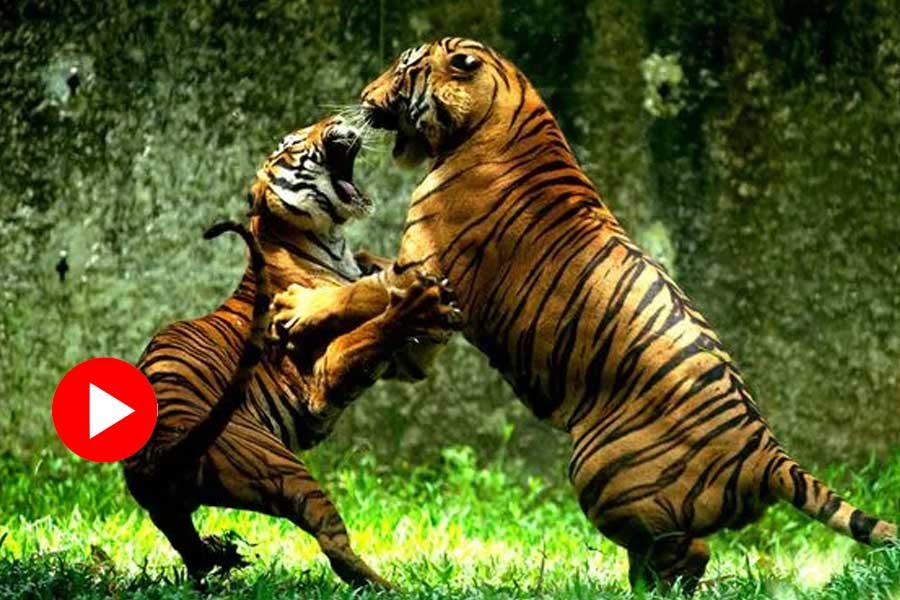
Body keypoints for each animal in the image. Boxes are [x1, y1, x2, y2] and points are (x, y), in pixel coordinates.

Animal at [123, 115, 460, 589]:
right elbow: (370, 323)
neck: (327, 239)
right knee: (337, 548)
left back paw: (218, 558)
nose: (338, 120)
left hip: (171, 509)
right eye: (294, 142)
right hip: (285, 470)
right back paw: (394, 588)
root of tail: (160, 448)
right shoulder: (321, 377)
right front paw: (414, 300)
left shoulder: (405, 361)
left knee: (187, 545)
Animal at [271, 39, 897, 593]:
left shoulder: (421, 271)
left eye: (403, 73)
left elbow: (359, 293)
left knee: (689, 550)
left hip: (602, 472)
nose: (362, 96)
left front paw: (298, 308)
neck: (502, 110)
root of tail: (766, 450)